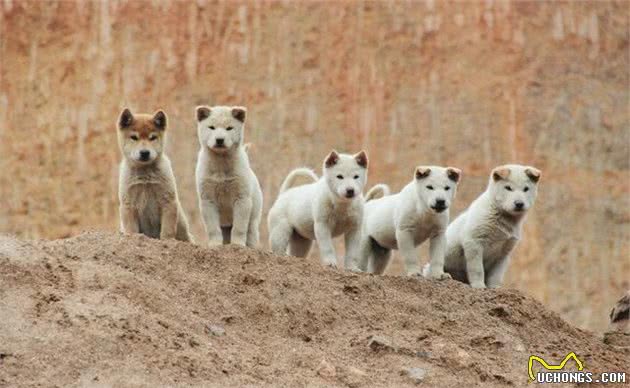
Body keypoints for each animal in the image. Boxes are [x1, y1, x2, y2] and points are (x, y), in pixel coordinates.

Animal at [193, 104, 262, 247]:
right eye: (211, 127)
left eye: (229, 128)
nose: (219, 140)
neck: (220, 163)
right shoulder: (207, 199)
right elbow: (212, 227)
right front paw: (215, 244)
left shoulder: (242, 198)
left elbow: (239, 227)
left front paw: (237, 245)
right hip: (225, 226)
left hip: (254, 217)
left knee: (251, 233)